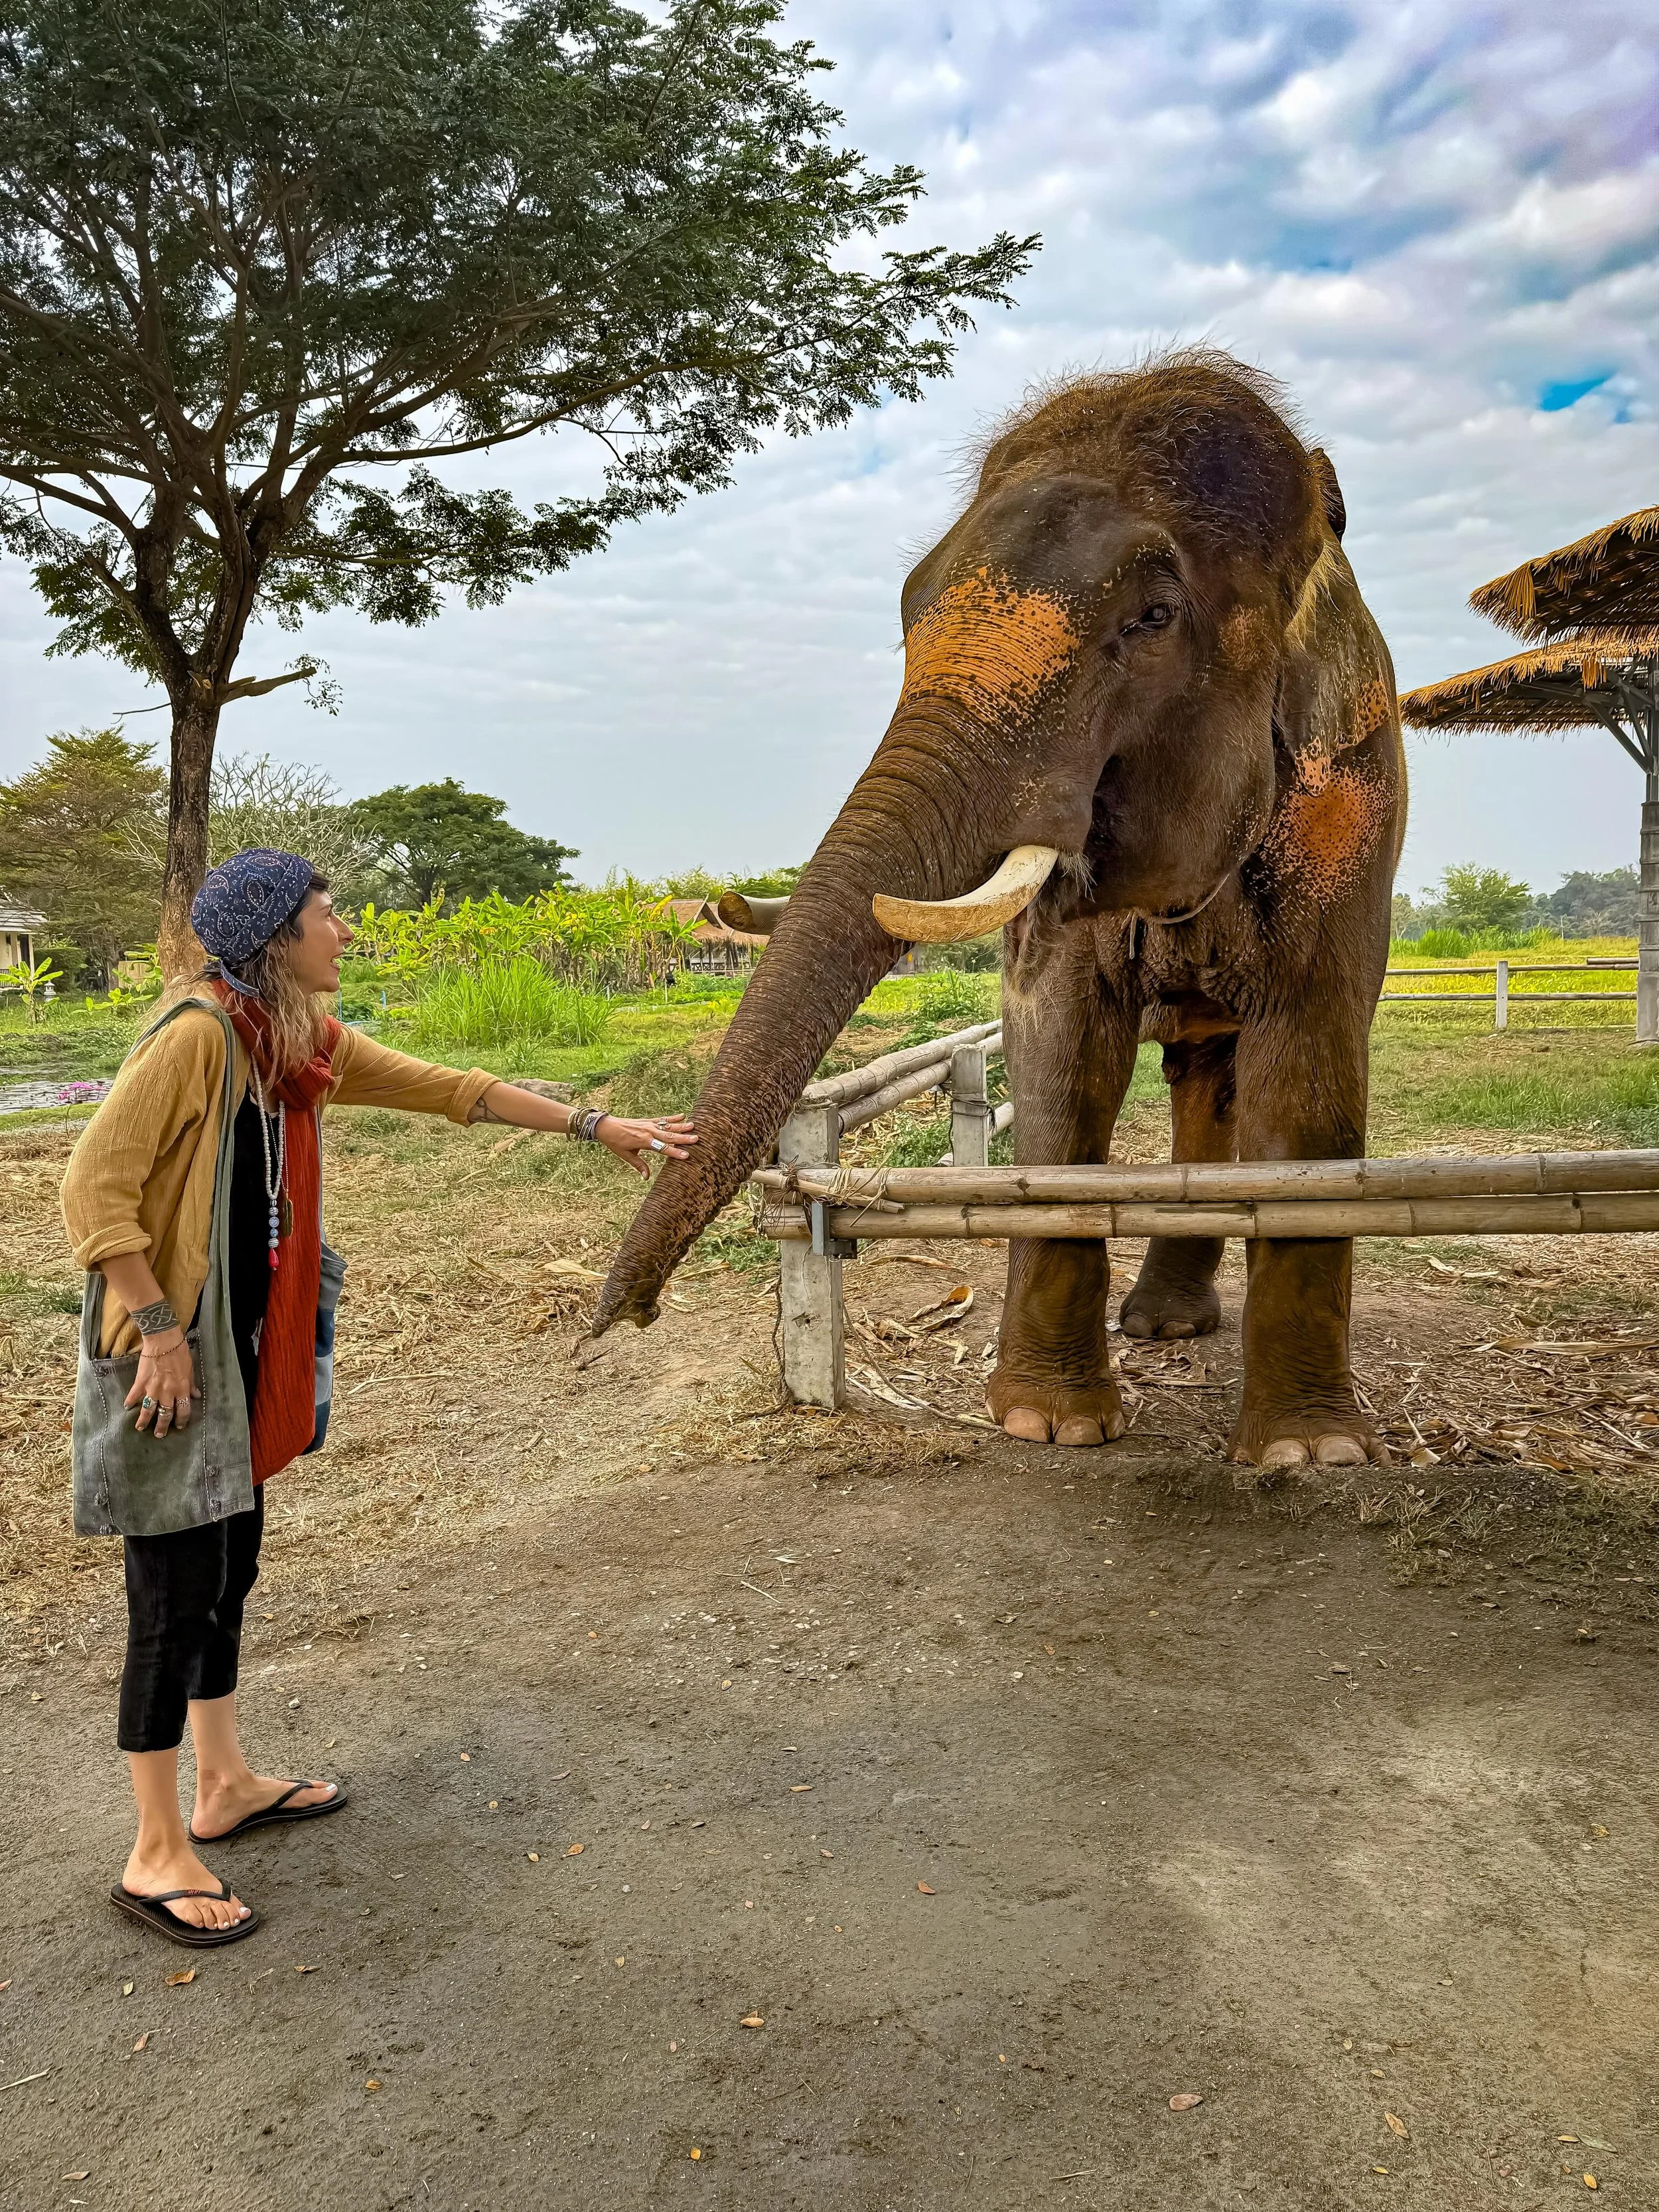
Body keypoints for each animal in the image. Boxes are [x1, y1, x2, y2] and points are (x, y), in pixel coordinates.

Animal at [593, 349, 1406, 1468]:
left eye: (1151, 618)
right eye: (906, 615)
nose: (613, 1317)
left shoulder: (1348, 806)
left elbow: (1310, 1051)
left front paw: (1307, 1454)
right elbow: (1056, 1044)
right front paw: (1048, 1425)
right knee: (1200, 1072)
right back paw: (1161, 1325)